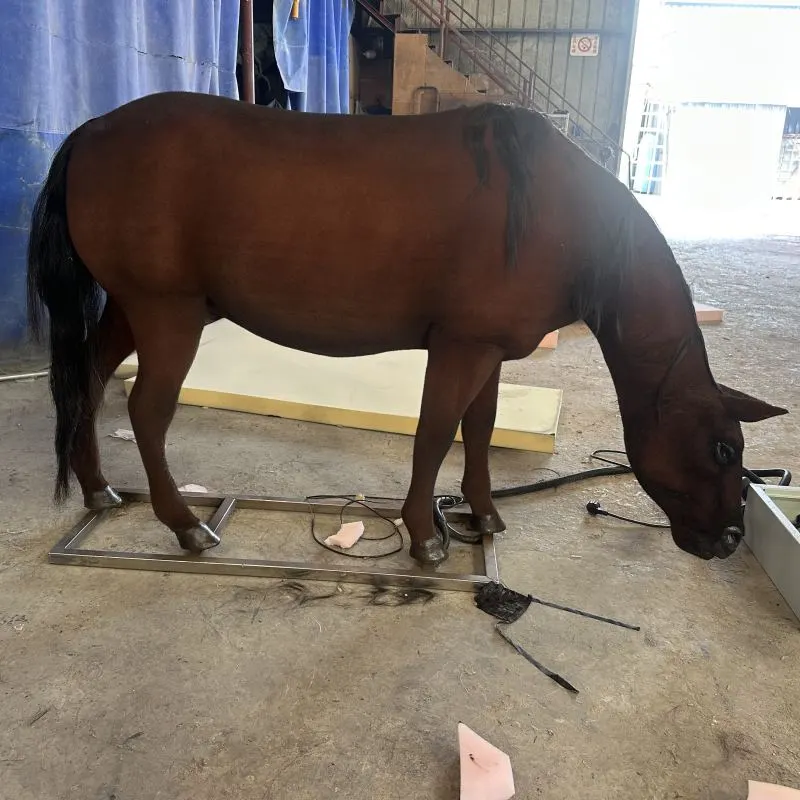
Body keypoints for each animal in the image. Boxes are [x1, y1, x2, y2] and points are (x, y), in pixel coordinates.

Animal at [27, 91, 786, 567]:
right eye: (723, 449)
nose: (726, 539)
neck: (563, 217)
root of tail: (91, 132)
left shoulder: (490, 350)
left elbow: (478, 429)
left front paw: (482, 513)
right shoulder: (460, 347)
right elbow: (435, 432)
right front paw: (425, 536)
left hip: (133, 309)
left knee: (87, 384)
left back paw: (97, 489)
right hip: (168, 313)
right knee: (145, 412)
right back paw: (185, 526)